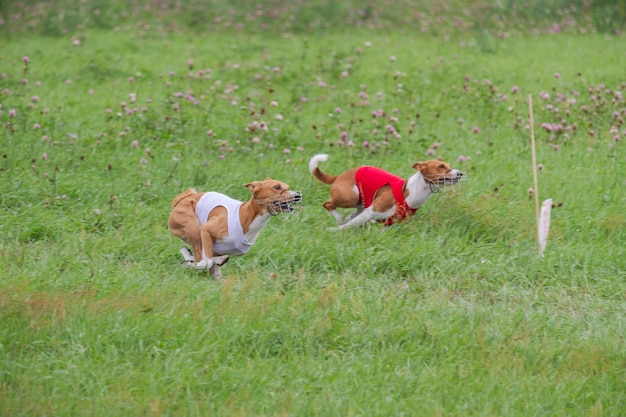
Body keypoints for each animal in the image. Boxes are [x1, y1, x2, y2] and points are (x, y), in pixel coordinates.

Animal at [168, 180, 300, 280]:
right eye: (276, 187)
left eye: (287, 187)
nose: (297, 196)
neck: (246, 216)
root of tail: (183, 198)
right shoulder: (206, 229)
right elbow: (206, 262)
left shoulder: (217, 249)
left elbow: (212, 265)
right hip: (194, 230)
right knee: (201, 257)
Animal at [308, 154, 464, 229]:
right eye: (441, 166)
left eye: (449, 165)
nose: (460, 173)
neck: (411, 193)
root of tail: (340, 175)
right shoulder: (370, 212)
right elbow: (347, 226)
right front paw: (334, 231)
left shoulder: (387, 223)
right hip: (350, 197)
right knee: (328, 204)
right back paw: (339, 217)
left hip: (359, 204)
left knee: (350, 214)